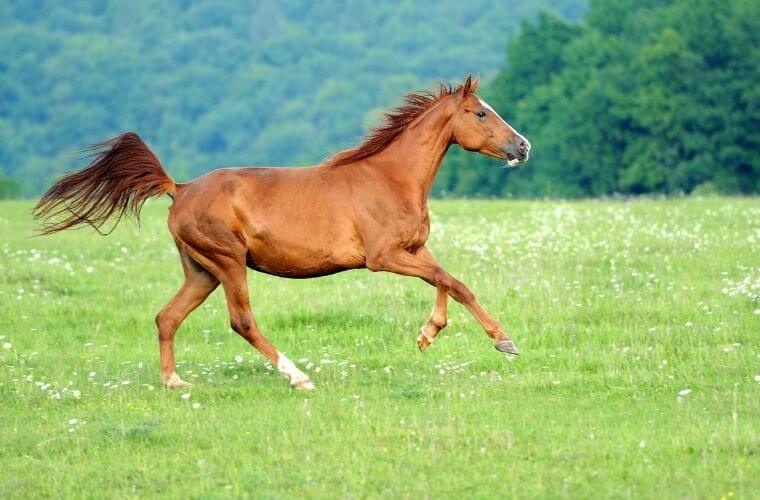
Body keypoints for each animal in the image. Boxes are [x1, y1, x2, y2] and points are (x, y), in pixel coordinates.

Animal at [34, 74, 528, 390]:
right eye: (480, 114)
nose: (523, 146)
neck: (390, 178)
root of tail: (180, 188)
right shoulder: (383, 257)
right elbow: (450, 280)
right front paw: (500, 340)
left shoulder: (414, 249)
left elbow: (450, 282)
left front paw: (435, 335)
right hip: (229, 263)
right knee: (242, 322)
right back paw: (298, 377)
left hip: (201, 271)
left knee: (167, 317)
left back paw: (174, 382)